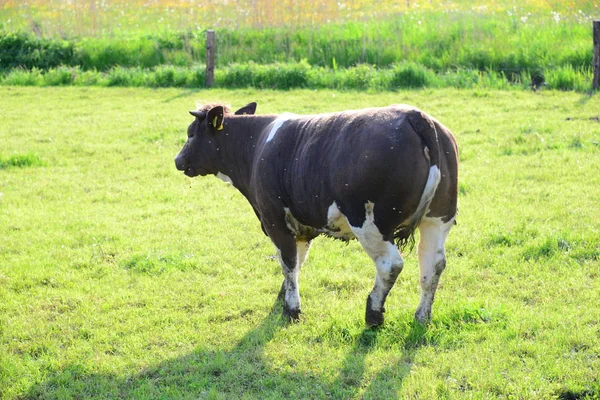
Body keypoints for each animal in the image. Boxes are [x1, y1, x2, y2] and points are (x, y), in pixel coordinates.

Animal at [175, 101, 460, 326]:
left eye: (191, 134)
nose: (178, 160)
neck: (256, 146)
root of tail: (415, 115)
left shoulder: (274, 219)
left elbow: (288, 261)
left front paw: (292, 309)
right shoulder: (301, 225)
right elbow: (296, 263)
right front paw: (284, 298)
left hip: (369, 222)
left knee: (390, 264)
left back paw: (374, 314)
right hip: (438, 219)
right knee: (433, 264)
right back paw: (422, 317)